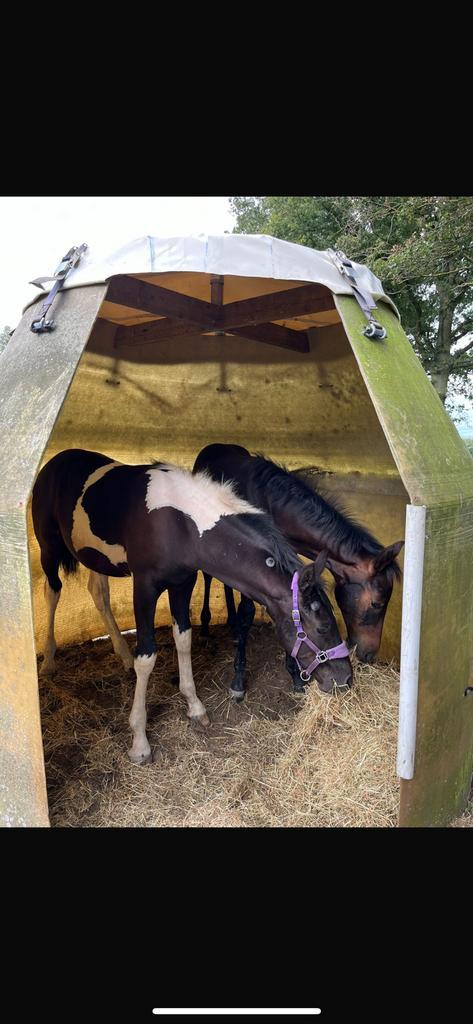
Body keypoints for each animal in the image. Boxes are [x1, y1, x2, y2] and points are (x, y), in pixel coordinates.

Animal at [32, 448, 352, 763]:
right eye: (323, 626)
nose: (345, 680)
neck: (179, 524)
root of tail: (56, 461)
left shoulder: (183, 583)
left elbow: (184, 639)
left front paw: (195, 707)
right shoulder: (144, 589)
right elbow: (146, 657)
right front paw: (139, 741)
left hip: (95, 558)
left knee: (98, 594)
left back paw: (121, 654)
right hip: (49, 549)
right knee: (53, 592)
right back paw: (48, 661)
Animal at [193, 443, 403, 699]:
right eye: (376, 603)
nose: (369, 654)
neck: (271, 504)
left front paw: (295, 675)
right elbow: (247, 613)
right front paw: (239, 679)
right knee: (209, 577)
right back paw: (207, 625)